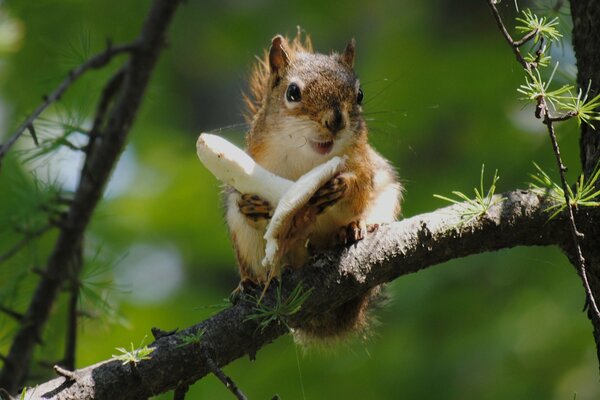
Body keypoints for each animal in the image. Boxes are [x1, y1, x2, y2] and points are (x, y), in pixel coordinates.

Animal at [225, 32, 404, 342]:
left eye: (359, 95)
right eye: (292, 93)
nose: (336, 121)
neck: (309, 158)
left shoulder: (365, 162)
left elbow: (360, 184)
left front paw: (343, 185)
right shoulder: (255, 163)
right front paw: (251, 205)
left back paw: (353, 229)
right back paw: (250, 283)